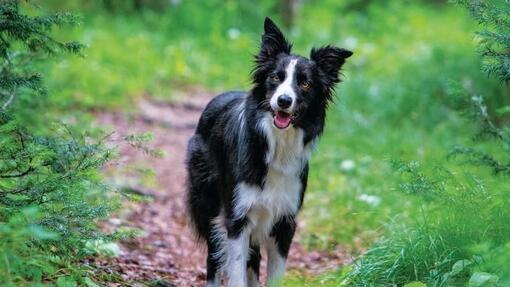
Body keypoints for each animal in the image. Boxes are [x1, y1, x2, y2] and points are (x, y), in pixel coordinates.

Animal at [185, 17, 352, 286]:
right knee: (214, 255)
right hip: (208, 202)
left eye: (305, 83)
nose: (284, 101)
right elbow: (235, 271)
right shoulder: (237, 218)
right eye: (276, 77)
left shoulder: (284, 222)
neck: (277, 145)